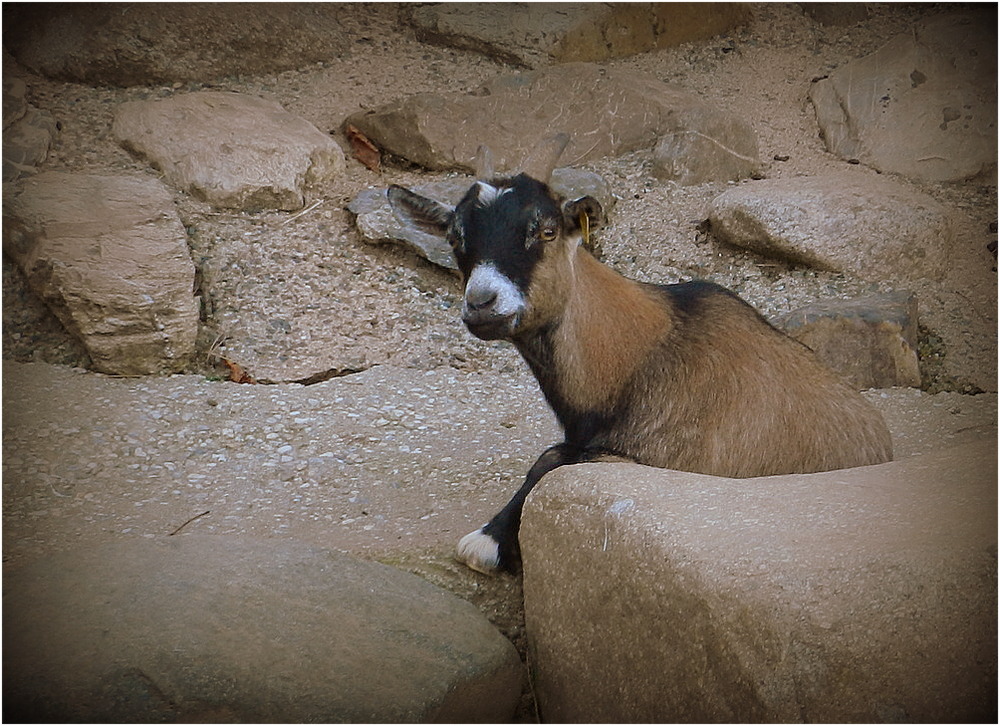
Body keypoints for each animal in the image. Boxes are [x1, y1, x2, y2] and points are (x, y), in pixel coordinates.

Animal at [386, 132, 896, 576]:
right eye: (455, 238)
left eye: (546, 230)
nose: (482, 303)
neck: (642, 353)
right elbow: (553, 455)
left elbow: (553, 461)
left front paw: (489, 542)